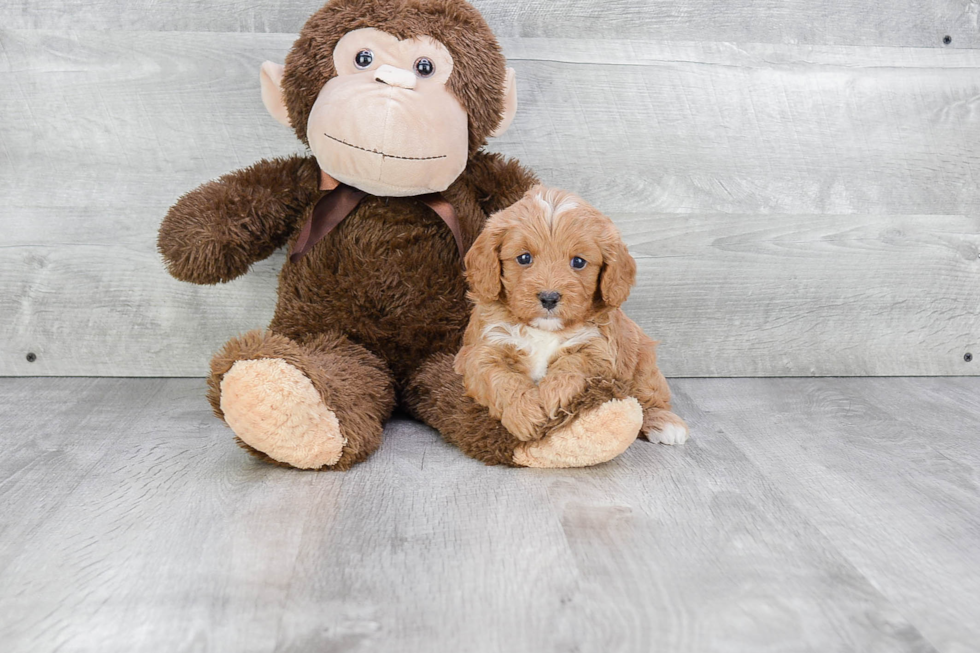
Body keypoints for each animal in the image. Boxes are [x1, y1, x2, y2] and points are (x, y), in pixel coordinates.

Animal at [454, 186, 688, 446]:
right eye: (524, 258)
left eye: (578, 262)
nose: (549, 297)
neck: (544, 330)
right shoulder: (481, 350)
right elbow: (500, 378)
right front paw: (526, 414)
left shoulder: (599, 349)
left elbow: (573, 364)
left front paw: (551, 396)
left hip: (642, 360)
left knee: (650, 394)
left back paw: (665, 422)